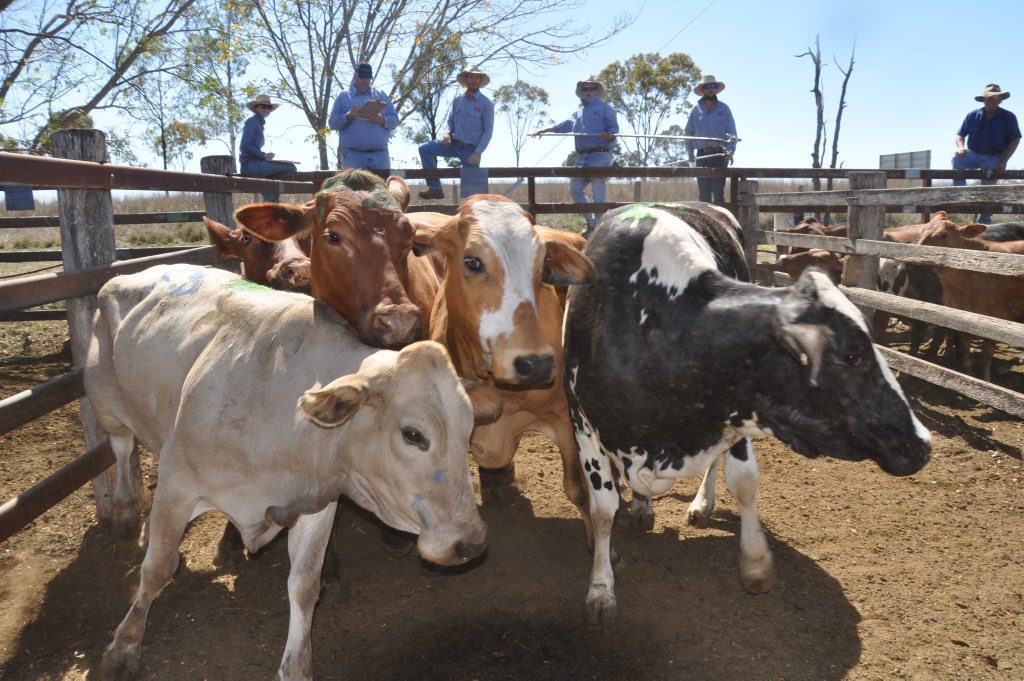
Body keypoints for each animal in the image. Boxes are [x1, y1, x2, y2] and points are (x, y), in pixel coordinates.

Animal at [87, 264, 488, 681]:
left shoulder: (316, 506)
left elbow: (305, 585)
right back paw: (126, 513)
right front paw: (124, 646)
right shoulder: (178, 484)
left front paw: (296, 665)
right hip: (104, 399)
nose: (470, 543)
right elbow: (156, 568)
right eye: (413, 434)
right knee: (121, 446)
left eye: (468, 429)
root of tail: (145, 270)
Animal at [563, 203, 931, 623]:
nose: (922, 443)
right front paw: (601, 587)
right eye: (853, 354)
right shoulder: (582, 422)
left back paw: (700, 505)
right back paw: (643, 506)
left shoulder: (736, 412)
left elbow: (743, 482)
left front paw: (755, 564)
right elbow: (603, 508)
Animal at [916, 215, 1024, 380]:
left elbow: (986, 353)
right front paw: (968, 374)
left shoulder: (999, 316)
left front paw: (985, 379)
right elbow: (965, 347)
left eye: (943, 235)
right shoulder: (960, 314)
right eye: (921, 231)